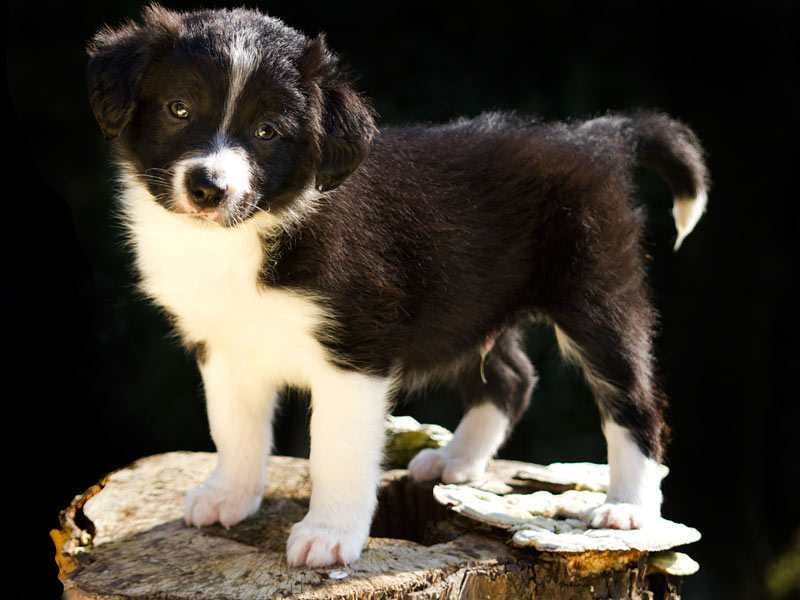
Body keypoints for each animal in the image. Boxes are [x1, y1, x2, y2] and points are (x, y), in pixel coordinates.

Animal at [90, 4, 708, 568]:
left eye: (267, 133)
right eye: (179, 109)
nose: (207, 188)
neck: (247, 235)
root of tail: (594, 135)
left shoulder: (356, 346)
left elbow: (335, 446)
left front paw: (328, 536)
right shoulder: (224, 343)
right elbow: (234, 428)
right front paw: (230, 498)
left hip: (598, 290)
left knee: (634, 399)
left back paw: (627, 508)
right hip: (467, 302)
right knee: (513, 377)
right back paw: (456, 461)